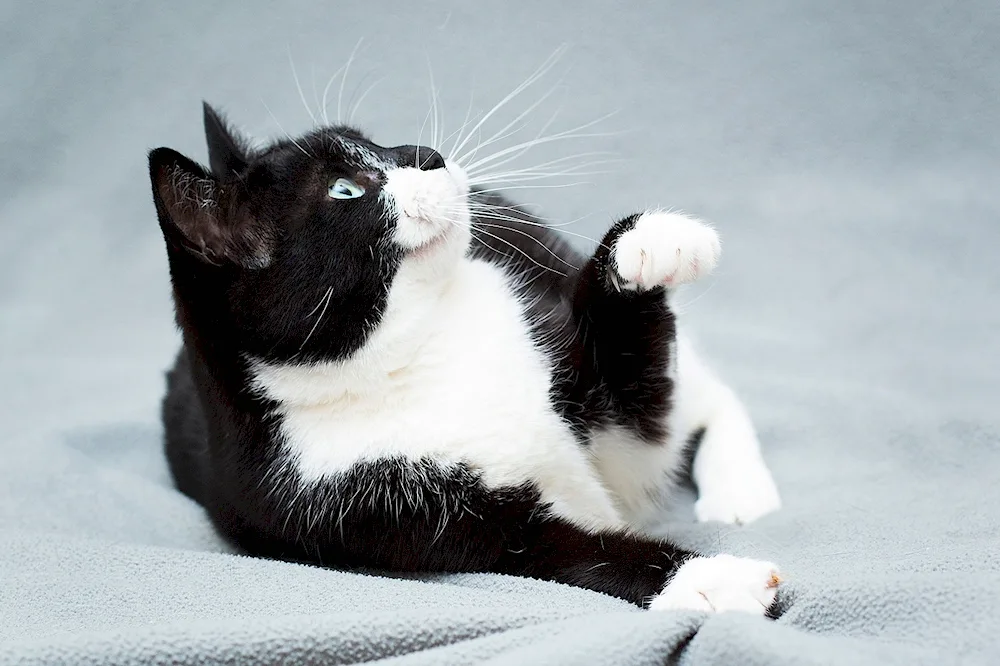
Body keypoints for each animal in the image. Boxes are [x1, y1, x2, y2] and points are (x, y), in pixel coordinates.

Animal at [152, 101, 784, 616]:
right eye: (344, 190)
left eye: (373, 142)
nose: (424, 154)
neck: (421, 349)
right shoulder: (347, 506)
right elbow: (566, 550)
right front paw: (710, 580)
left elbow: (636, 413)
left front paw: (647, 243)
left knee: (699, 395)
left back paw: (738, 489)